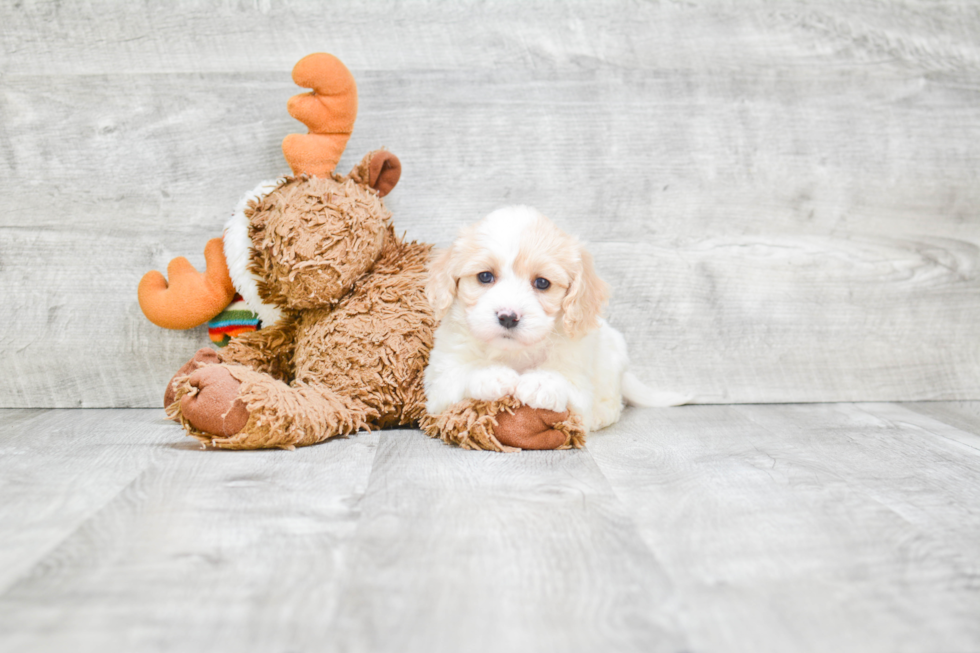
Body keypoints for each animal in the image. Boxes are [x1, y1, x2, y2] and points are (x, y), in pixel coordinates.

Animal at [424, 205, 688, 432]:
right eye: (485, 276)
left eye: (542, 283)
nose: (508, 317)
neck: (515, 352)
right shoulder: (438, 386)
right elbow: (459, 374)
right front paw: (490, 374)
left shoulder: (579, 384)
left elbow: (565, 381)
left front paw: (541, 383)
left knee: (613, 402)